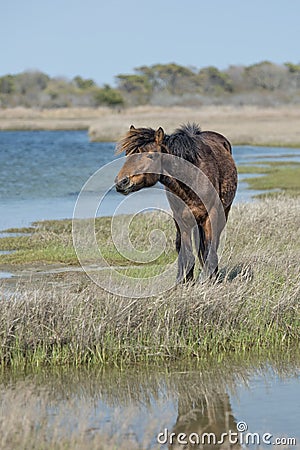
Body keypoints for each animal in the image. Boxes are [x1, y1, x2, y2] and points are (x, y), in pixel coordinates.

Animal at [114, 123, 237, 284]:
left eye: (151, 155)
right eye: (127, 154)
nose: (122, 182)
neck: (193, 177)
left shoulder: (211, 216)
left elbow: (210, 249)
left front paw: (209, 280)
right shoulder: (181, 218)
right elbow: (186, 252)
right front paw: (184, 281)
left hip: (222, 214)